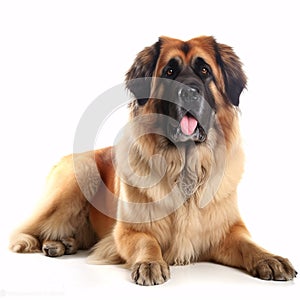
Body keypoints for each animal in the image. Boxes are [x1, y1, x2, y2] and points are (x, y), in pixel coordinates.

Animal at [9, 35, 298, 286]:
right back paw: (45, 242)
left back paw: (64, 243)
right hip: (76, 178)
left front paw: (270, 259)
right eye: (169, 72)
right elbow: (148, 241)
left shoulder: (227, 230)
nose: (188, 92)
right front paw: (150, 263)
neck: (184, 166)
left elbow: (248, 244)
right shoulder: (128, 232)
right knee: (28, 227)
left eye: (204, 71)